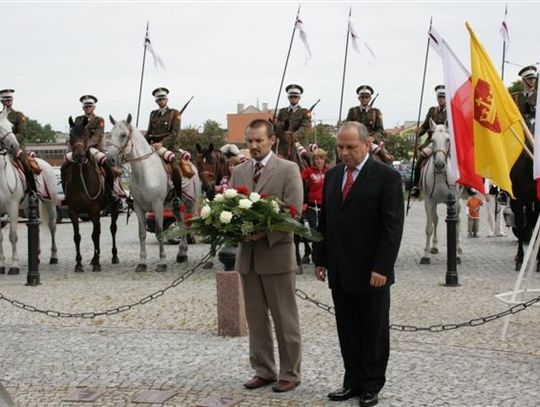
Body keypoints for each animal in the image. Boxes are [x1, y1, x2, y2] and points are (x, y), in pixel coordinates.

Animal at [0, 110, 57, 274]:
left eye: (11, 126)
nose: (14, 145)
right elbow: (0, 238)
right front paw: (1, 265)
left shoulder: (12, 207)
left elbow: (13, 236)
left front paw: (14, 266)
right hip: (28, 206)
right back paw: (36, 256)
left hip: (50, 204)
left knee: (52, 227)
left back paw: (54, 256)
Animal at [64, 116, 119, 272]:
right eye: (71, 135)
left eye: (86, 135)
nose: (78, 156)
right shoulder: (73, 211)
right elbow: (77, 236)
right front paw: (79, 264)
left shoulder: (94, 210)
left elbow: (95, 235)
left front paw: (97, 264)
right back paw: (94, 259)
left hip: (113, 208)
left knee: (112, 229)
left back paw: (113, 256)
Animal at [106, 115, 194, 272]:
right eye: (110, 135)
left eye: (123, 135)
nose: (110, 159)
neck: (144, 172)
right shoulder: (139, 207)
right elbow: (141, 234)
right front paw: (142, 263)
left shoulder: (157, 206)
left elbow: (159, 232)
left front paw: (162, 262)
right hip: (174, 205)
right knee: (180, 221)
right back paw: (181, 253)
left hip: (188, 202)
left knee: (187, 223)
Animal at [420, 122, 462, 266]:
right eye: (432, 140)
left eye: (448, 140)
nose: (439, 164)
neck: (440, 176)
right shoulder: (428, 201)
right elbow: (429, 228)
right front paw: (425, 255)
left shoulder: (455, 201)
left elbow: (455, 226)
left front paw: (456, 256)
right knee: (436, 220)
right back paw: (434, 246)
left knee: (459, 221)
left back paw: (459, 249)